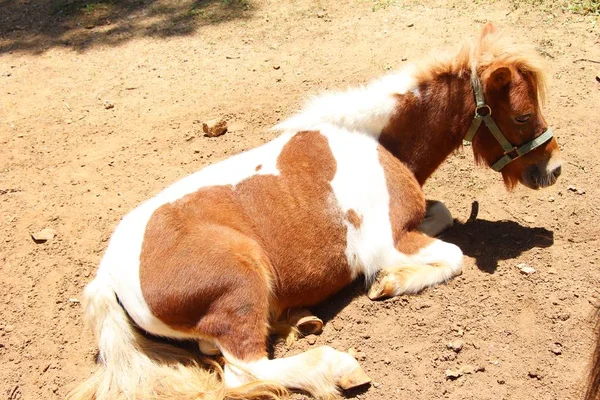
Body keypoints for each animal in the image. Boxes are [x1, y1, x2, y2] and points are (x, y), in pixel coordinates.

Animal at [69, 24, 564, 400]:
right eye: (522, 115)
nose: (553, 169)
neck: (374, 143)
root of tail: (107, 277)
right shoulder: (385, 245)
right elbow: (453, 256)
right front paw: (386, 285)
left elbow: (441, 214)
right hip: (241, 284)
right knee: (242, 368)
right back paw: (336, 367)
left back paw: (296, 320)